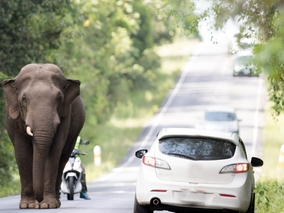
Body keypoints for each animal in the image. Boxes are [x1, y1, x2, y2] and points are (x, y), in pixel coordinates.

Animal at [1, 62, 85, 208]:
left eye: (59, 98)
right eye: (24, 99)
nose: (38, 202)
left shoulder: (65, 116)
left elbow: (54, 152)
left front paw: (48, 205)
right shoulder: (12, 119)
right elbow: (22, 153)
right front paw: (28, 205)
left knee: (63, 158)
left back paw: (56, 201)